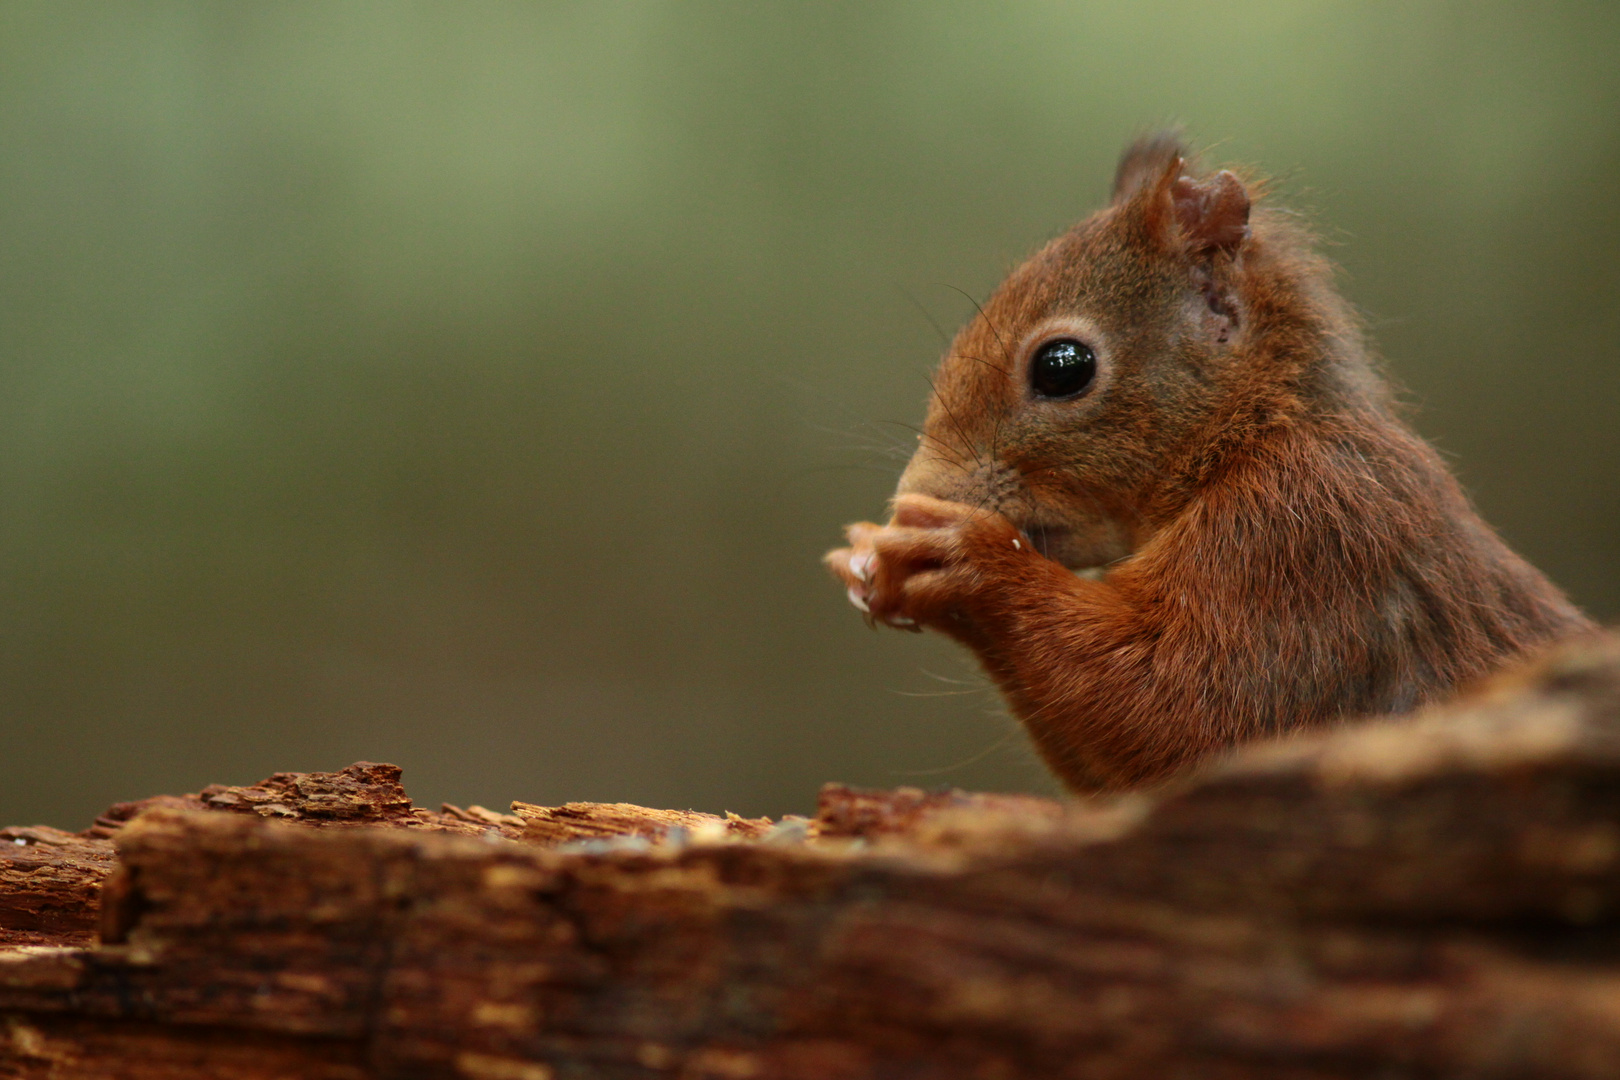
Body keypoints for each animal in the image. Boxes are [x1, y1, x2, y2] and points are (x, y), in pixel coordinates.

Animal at [829, 132, 1587, 793]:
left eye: (1063, 367)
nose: (915, 492)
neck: (1250, 437)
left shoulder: (1304, 542)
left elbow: (1190, 713)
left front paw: (961, 557)